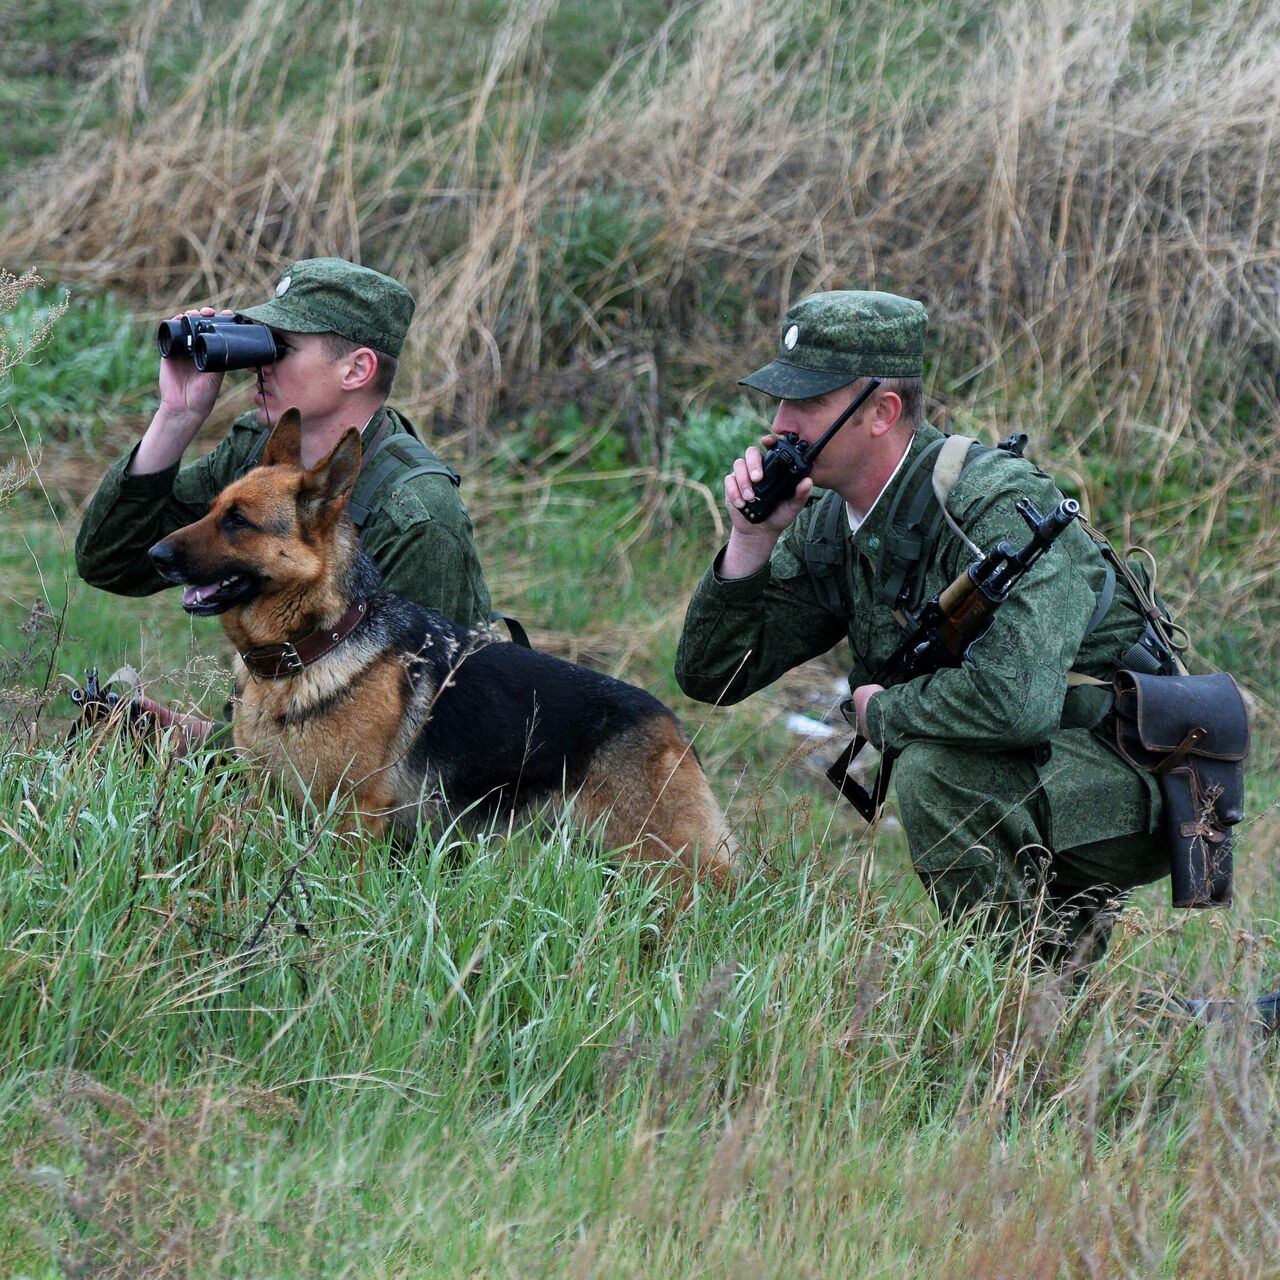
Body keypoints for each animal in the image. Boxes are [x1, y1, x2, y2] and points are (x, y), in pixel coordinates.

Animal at [148, 414, 737, 885]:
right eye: (212, 509)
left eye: (238, 521)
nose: (154, 554)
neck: (312, 647)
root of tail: (673, 725)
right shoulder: (269, 800)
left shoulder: (352, 818)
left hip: (665, 866)